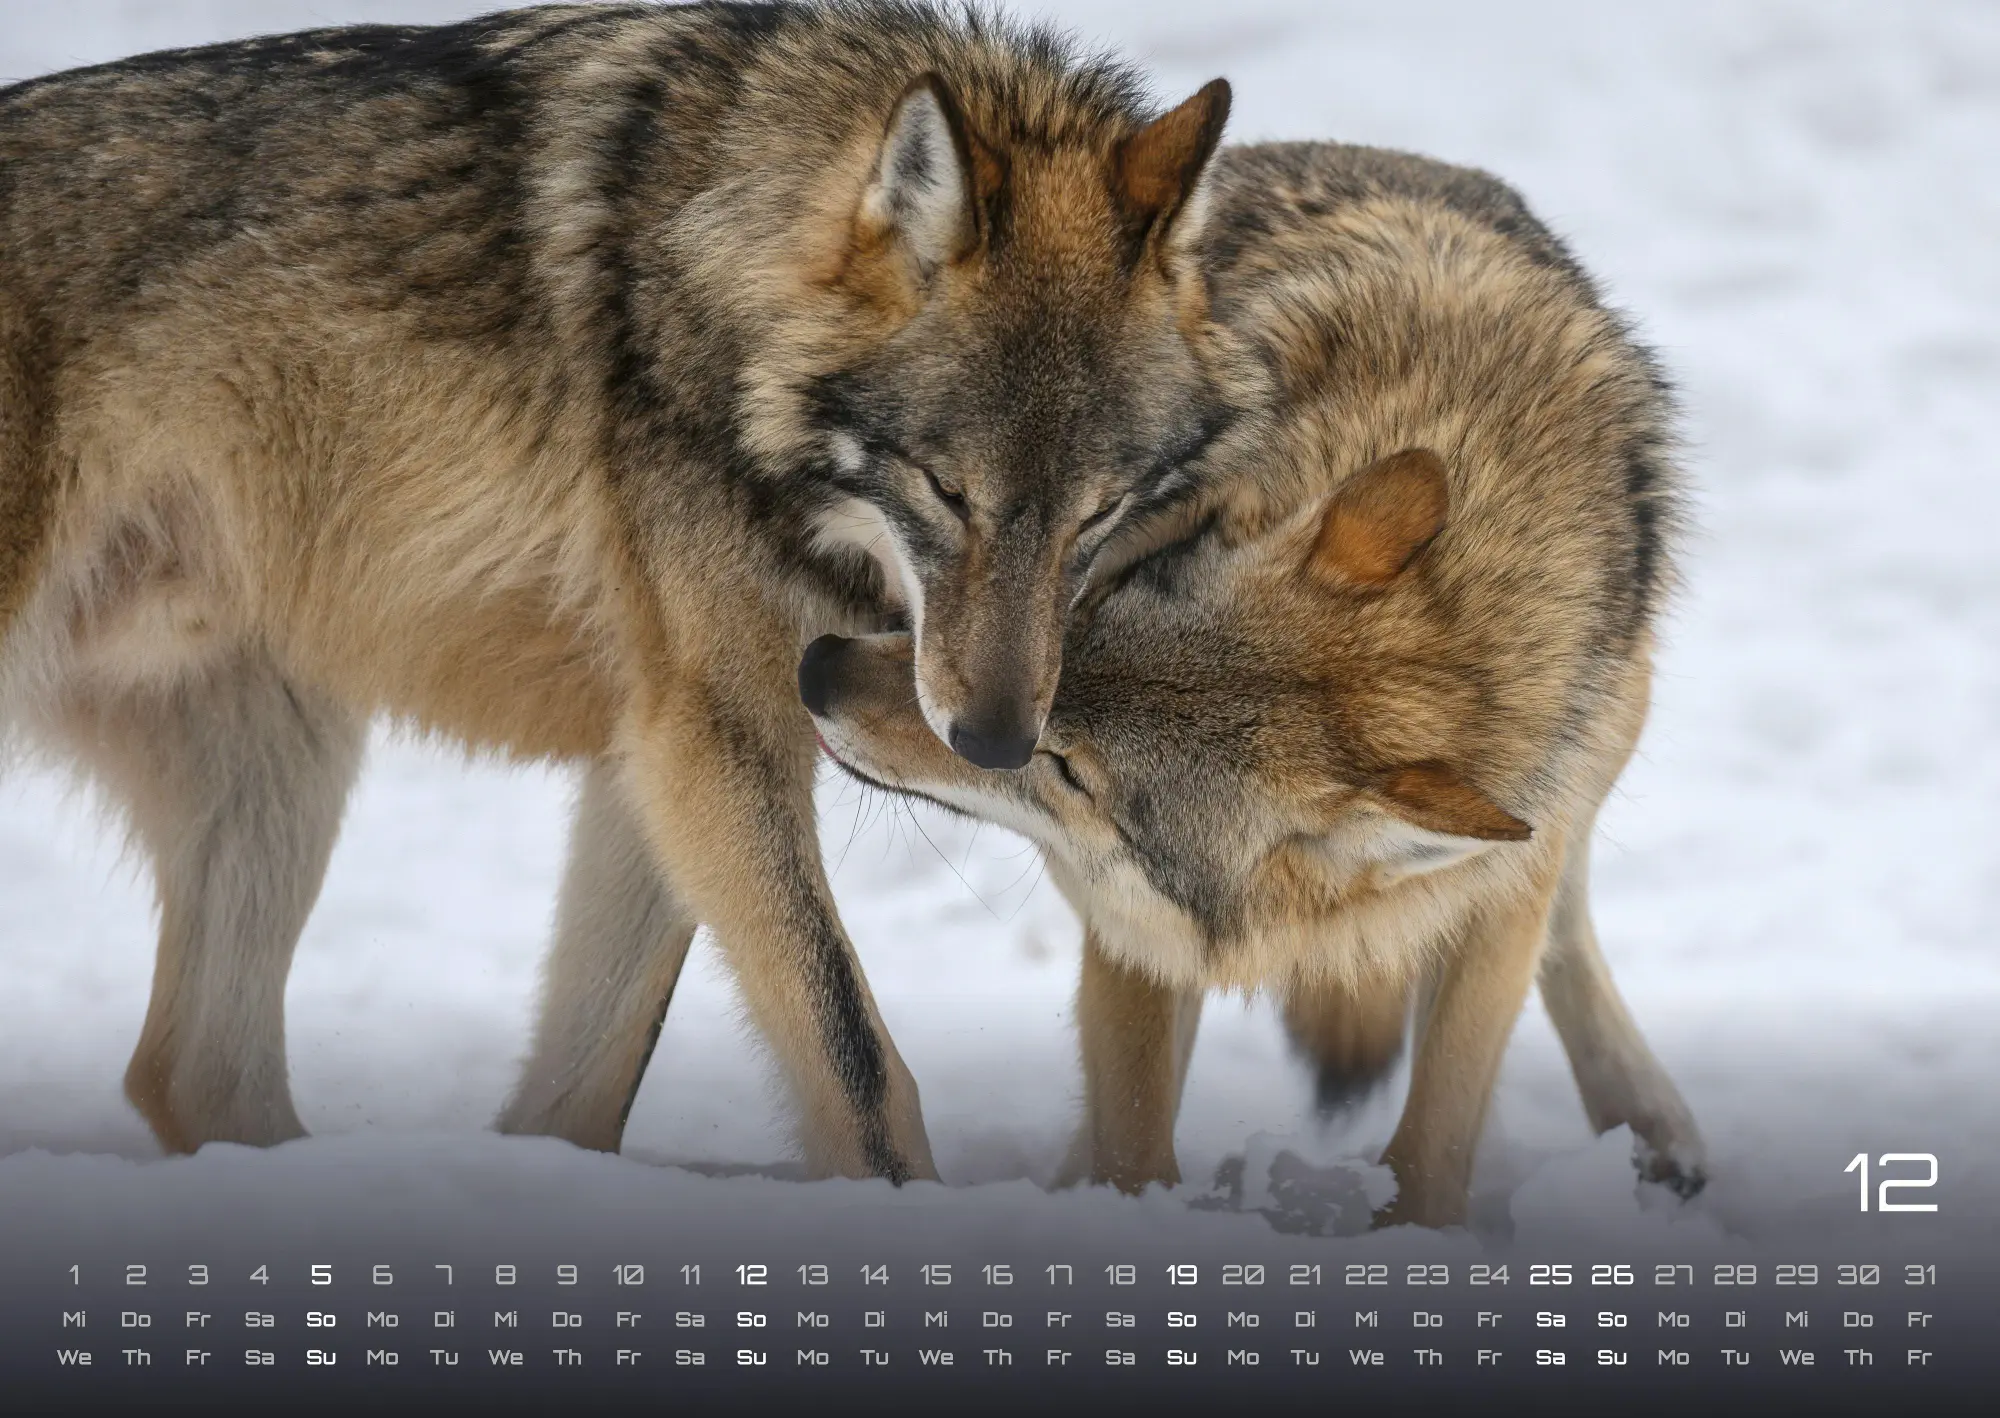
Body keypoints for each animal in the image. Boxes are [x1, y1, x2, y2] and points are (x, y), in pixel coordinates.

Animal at [0, 3, 1243, 1181]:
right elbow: (856, 1056)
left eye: (1093, 512)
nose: (992, 742)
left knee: (186, 1069)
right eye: (947, 490)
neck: (714, 258)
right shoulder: (709, 735)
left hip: (286, 760)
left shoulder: (661, 749)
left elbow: (585, 1089)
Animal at [799, 140, 1707, 1225]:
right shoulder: (1136, 931)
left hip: (1579, 781)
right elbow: (1131, 1138)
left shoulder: (1499, 880)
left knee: (1564, 921)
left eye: (1071, 771)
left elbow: (1437, 1132)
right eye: (1084, 611)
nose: (817, 667)